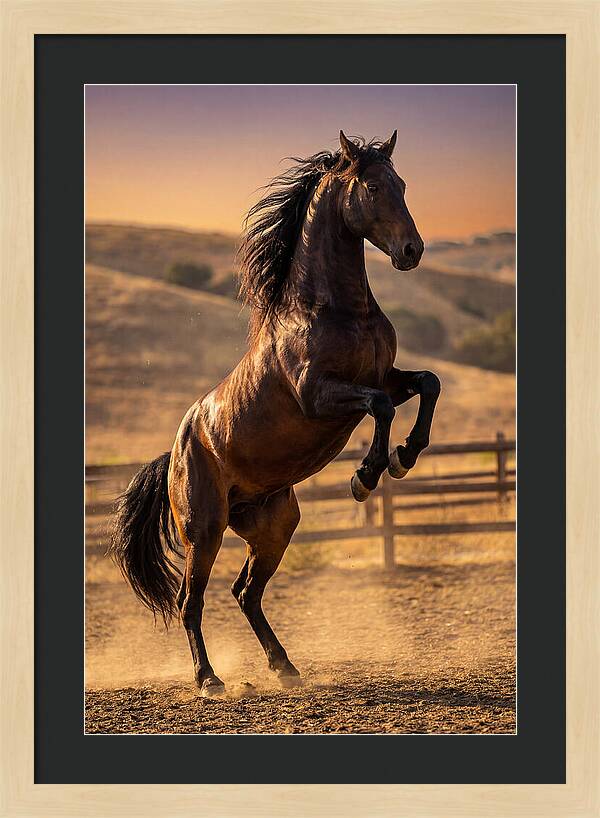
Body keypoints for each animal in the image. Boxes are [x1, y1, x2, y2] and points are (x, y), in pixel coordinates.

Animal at [110, 131, 440, 696]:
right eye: (373, 187)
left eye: (402, 184)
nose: (411, 251)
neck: (333, 309)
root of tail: (174, 452)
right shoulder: (319, 395)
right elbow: (378, 408)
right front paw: (366, 476)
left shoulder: (385, 378)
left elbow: (427, 384)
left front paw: (405, 456)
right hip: (205, 530)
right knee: (191, 602)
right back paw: (209, 680)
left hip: (274, 525)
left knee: (246, 593)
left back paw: (285, 667)